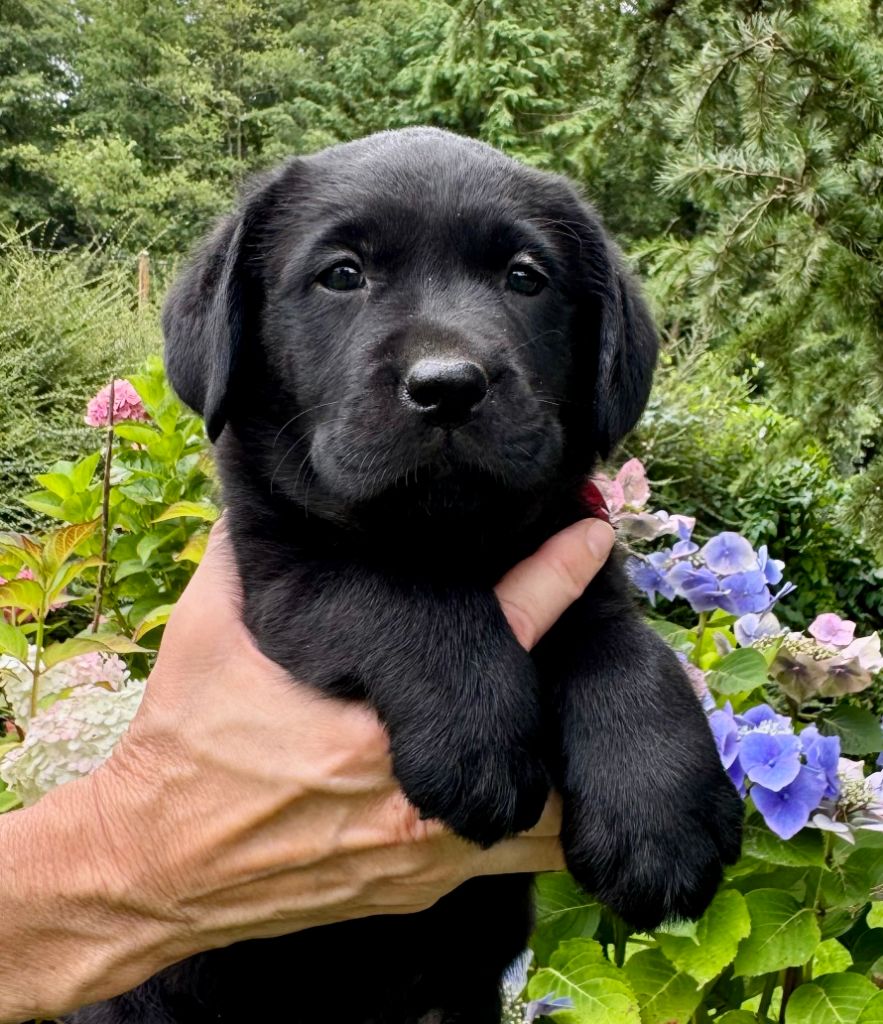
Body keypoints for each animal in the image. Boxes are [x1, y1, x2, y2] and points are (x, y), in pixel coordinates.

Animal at [72, 128, 741, 1024]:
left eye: (524, 277)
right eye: (342, 274)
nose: (448, 386)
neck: (447, 534)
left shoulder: (583, 561)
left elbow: (630, 652)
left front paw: (661, 818)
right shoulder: (282, 573)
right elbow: (395, 587)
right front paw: (476, 738)